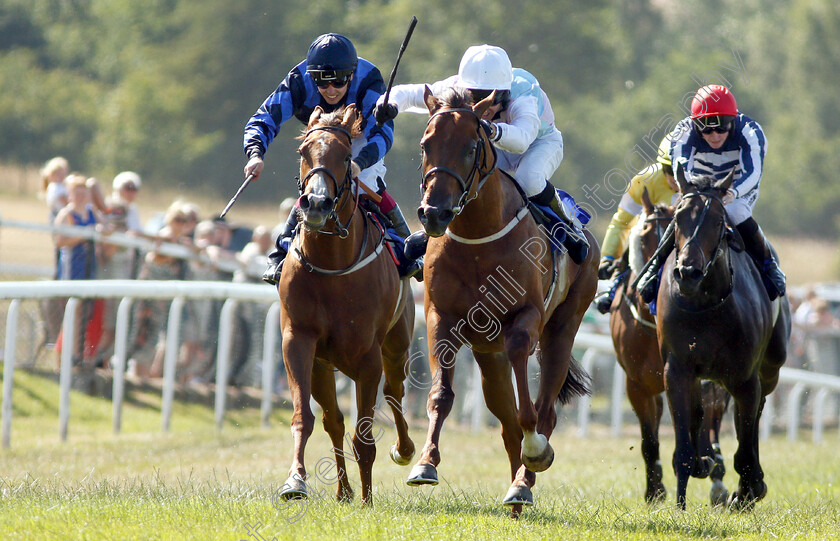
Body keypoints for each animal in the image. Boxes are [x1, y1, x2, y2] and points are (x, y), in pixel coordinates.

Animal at [278, 106, 416, 506]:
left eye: (345, 156)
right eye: (304, 152)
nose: (316, 203)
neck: (332, 265)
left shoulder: (368, 357)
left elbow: (365, 436)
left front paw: (368, 500)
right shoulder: (299, 342)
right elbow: (307, 418)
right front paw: (295, 482)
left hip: (397, 344)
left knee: (395, 392)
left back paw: (404, 451)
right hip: (324, 366)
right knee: (334, 421)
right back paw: (343, 491)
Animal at [406, 87, 596, 516]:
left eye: (470, 147)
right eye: (426, 144)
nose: (433, 213)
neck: (479, 239)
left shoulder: (525, 320)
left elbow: (531, 411)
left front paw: (535, 455)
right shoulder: (440, 318)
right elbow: (441, 395)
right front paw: (425, 463)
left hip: (563, 329)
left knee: (544, 413)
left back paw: (524, 482)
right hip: (487, 355)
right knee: (507, 422)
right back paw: (515, 496)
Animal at [612, 188, 728, 504]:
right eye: (643, 238)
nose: (657, 278)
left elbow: (701, 418)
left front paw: (706, 463)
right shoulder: (636, 384)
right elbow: (649, 441)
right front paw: (655, 490)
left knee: (715, 417)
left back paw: (717, 472)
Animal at [660, 167, 792, 508]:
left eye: (719, 222)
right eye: (678, 217)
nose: (688, 273)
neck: (704, 304)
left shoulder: (745, 378)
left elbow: (744, 446)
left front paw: (747, 491)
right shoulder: (677, 370)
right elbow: (684, 448)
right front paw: (680, 505)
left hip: (770, 367)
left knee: (756, 416)